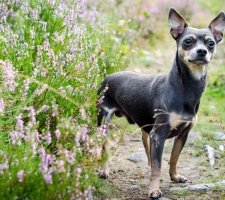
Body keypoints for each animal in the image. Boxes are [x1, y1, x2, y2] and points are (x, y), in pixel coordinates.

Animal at [96, 7, 225, 198]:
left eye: (211, 43)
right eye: (187, 41)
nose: (202, 51)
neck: (186, 88)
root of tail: (107, 77)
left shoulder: (183, 134)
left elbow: (173, 158)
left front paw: (175, 176)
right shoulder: (159, 135)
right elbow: (158, 167)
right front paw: (154, 190)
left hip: (145, 127)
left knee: (146, 145)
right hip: (104, 122)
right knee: (104, 147)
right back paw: (104, 170)